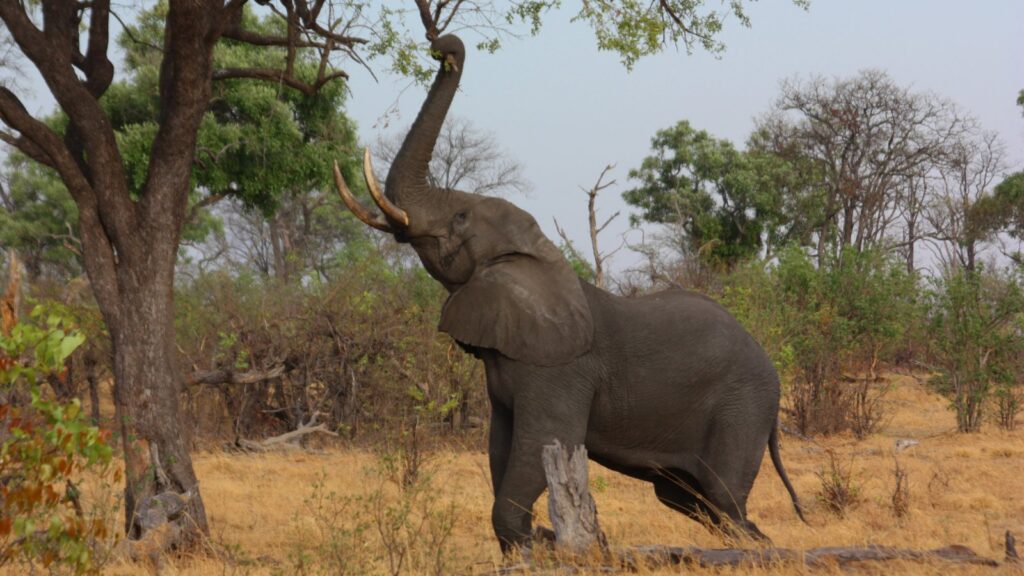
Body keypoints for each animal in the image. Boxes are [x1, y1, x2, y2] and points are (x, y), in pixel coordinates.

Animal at [333, 33, 805, 551]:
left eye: (460, 218)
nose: (445, 48)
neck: (534, 256)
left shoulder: (558, 371)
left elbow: (537, 446)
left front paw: (539, 541)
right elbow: (501, 449)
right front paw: (540, 541)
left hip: (742, 407)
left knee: (725, 500)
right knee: (696, 502)